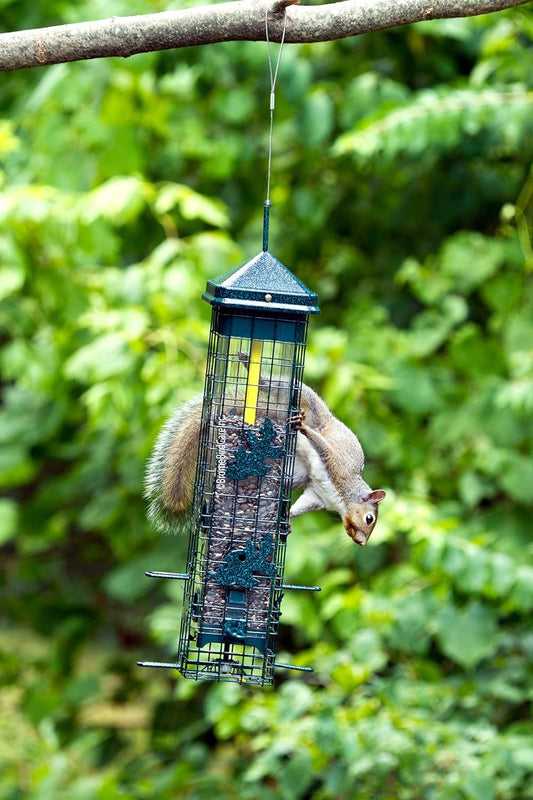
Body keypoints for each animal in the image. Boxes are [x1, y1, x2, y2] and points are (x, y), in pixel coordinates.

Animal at [145, 375, 386, 546]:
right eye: (369, 519)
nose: (361, 542)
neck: (342, 498)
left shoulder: (317, 495)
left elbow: (304, 503)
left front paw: (287, 518)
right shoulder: (337, 467)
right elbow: (322, 447)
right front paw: (304, 429)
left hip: (298, 474)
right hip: (311, 406)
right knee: (289, 389)